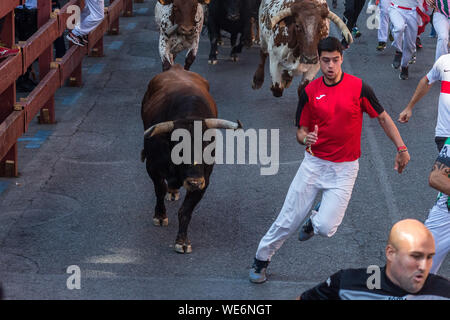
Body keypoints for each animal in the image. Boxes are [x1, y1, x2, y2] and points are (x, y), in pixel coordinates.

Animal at [142, 65, 243, 254]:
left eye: (208, 147)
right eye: (179, 150)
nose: (194, 182)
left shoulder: (205, 181)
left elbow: (185, 211)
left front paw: (182, 241)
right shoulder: (152, 167)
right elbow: (159, 189)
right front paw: (160, 215)